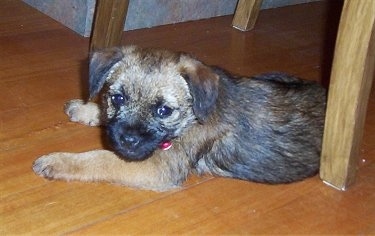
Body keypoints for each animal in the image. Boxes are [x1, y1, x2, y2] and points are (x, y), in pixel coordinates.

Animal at [31, 45, 326, 191]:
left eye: (164, 111)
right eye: (118, 98)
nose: (127, 140)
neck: (191, 117)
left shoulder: (155, 167)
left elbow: (99, 159)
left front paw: (58, 161)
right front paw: (85, 107)